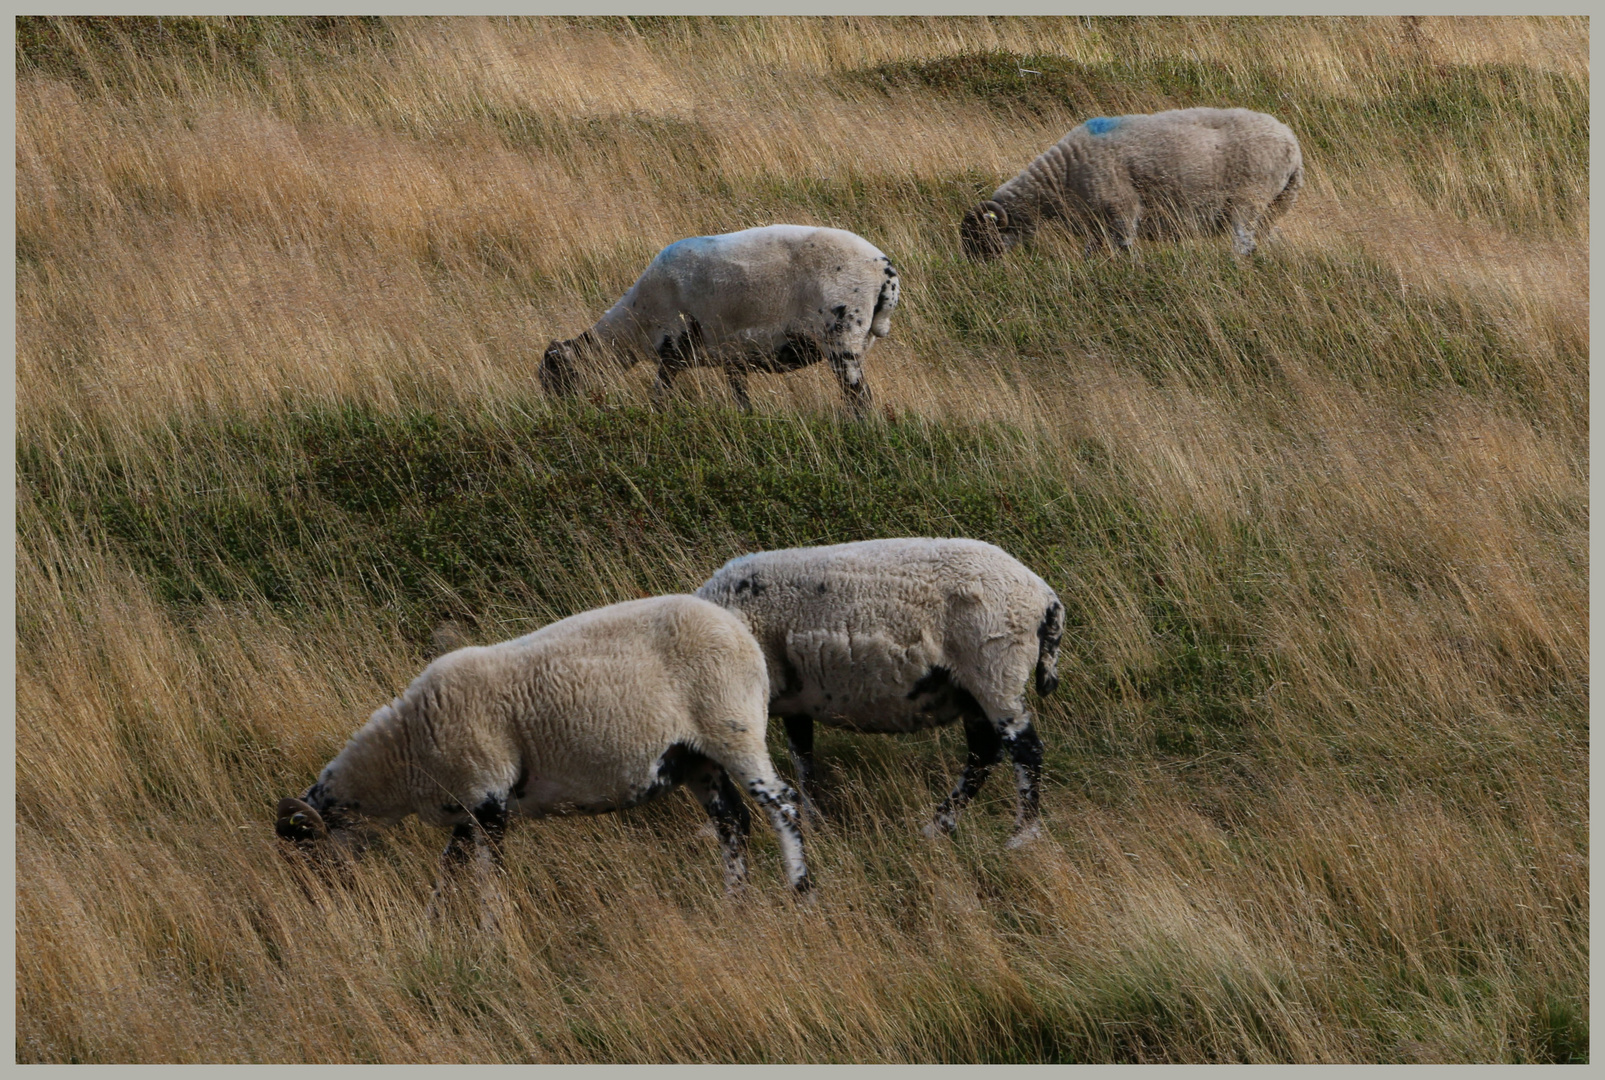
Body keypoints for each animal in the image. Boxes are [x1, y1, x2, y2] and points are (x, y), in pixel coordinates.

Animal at [274, 593, 815, 905]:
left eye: (308, 853)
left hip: (733, 727)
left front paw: (491, 942)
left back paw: (800, 894)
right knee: (733, 823)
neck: (407, 751)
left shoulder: (488, 798)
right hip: (694, 757)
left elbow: (486, 881)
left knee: (782, 805)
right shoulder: (467, 811)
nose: (314, 906)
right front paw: (438, 928)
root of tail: (740, 627)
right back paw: (734, 905)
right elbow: (448, 874)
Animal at [532, 223, 898, 414]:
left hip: (841, 334)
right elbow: (741, 400)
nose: (554, 413)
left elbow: (659, 395)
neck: (632, 326)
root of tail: (885, 272)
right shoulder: (732, 357)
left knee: (859, 399)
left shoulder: (673, 346)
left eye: (555, 377)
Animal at [693, 535, 1059, 847]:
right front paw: (813, 820)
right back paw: (936, 826)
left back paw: (1021, 835)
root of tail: (1045, 597)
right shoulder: (794, 703)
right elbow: (803, 759)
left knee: (1025, 751)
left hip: (995, 670)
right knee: (983, 755)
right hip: (971, 690)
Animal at [956, 105, 1296, 261]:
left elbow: (1125, 247)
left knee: (1244, 243)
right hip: (1273, 206)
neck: (1062, 175)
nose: (977, 267)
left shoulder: (1120, 210)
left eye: (982, 237)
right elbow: (1092, 252)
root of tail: (1293, 145)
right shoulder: (1095, 223)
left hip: (1248, 200)